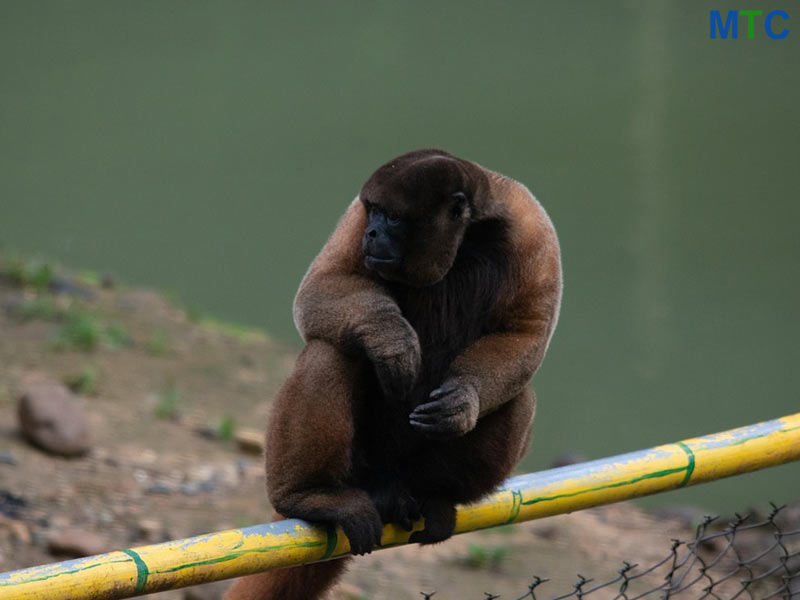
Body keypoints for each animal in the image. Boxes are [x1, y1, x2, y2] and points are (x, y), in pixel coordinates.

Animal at [225, 150, 564, 600]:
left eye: (393, 218)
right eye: (374, 212)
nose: (371, 233)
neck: (466, 237)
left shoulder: (532, 227)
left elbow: (525, 332)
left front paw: (463, 402)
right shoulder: (356, 213)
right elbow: (322, 285)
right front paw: (390, 338)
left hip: (412, 468)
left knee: (518, 396)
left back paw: (435, 496)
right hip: (361, 466)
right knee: (331, 351)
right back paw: (309, 495)